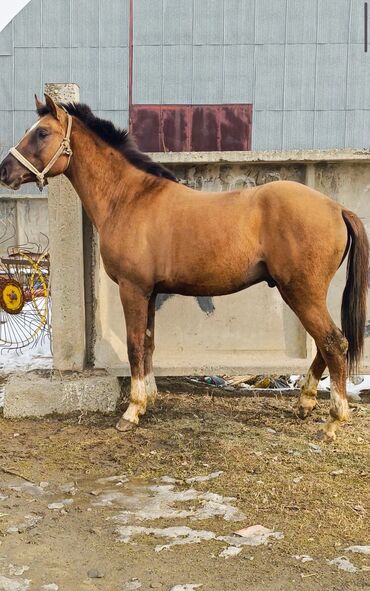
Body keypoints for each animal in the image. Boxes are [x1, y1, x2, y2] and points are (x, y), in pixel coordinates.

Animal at [0, 95, 368, 442]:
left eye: (42, 133)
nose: (4, 171)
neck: (128, 198)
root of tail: (336, 207)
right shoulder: (149, 293)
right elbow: (148, 343)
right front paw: (148, 399)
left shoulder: (132, 289)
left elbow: (134, 344)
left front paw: (132, 411)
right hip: (303, 294)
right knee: (324, 344)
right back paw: (305, 403)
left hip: (302, 292)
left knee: (334, 342)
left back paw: (333, 421)